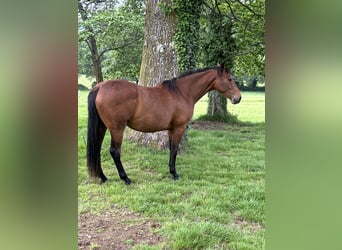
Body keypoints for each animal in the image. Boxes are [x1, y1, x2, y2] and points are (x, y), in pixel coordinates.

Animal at [86, 64, 240, 185]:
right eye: (229, 79)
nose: (238, 98)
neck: (181, 93)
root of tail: (99, 87)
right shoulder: (179, 128)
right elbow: (175, 149)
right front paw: (175, 174)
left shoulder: (171, 129)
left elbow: (172, 149)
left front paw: (171, 172)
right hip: (117, 129)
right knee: (115, 151)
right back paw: (126, 179)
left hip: (102, 127)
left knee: (97, 148)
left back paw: (103, 177)